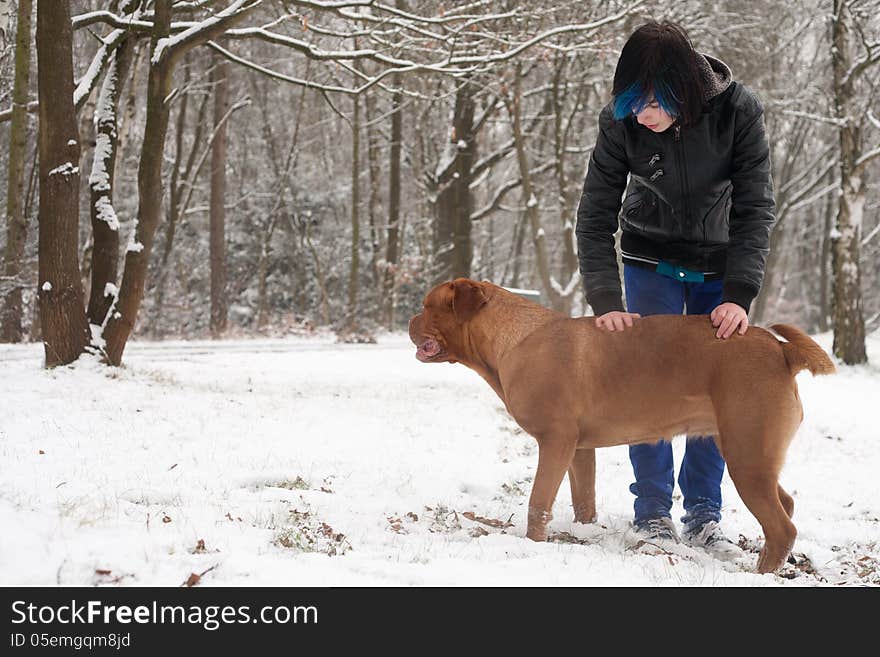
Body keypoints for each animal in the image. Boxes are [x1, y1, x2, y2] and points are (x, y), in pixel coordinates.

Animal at [410, 274, 836, 572]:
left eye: (429, 305)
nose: (411, 320)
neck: (513, 340)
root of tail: (781, 351)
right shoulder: (578, 449)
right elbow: (583, 500)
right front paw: (583, 533)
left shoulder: (555, 441)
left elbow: (538, 503)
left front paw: (533, 544)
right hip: (753, 454)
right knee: (786, 505)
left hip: (747, 456)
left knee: (782, 527)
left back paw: (762, 572)